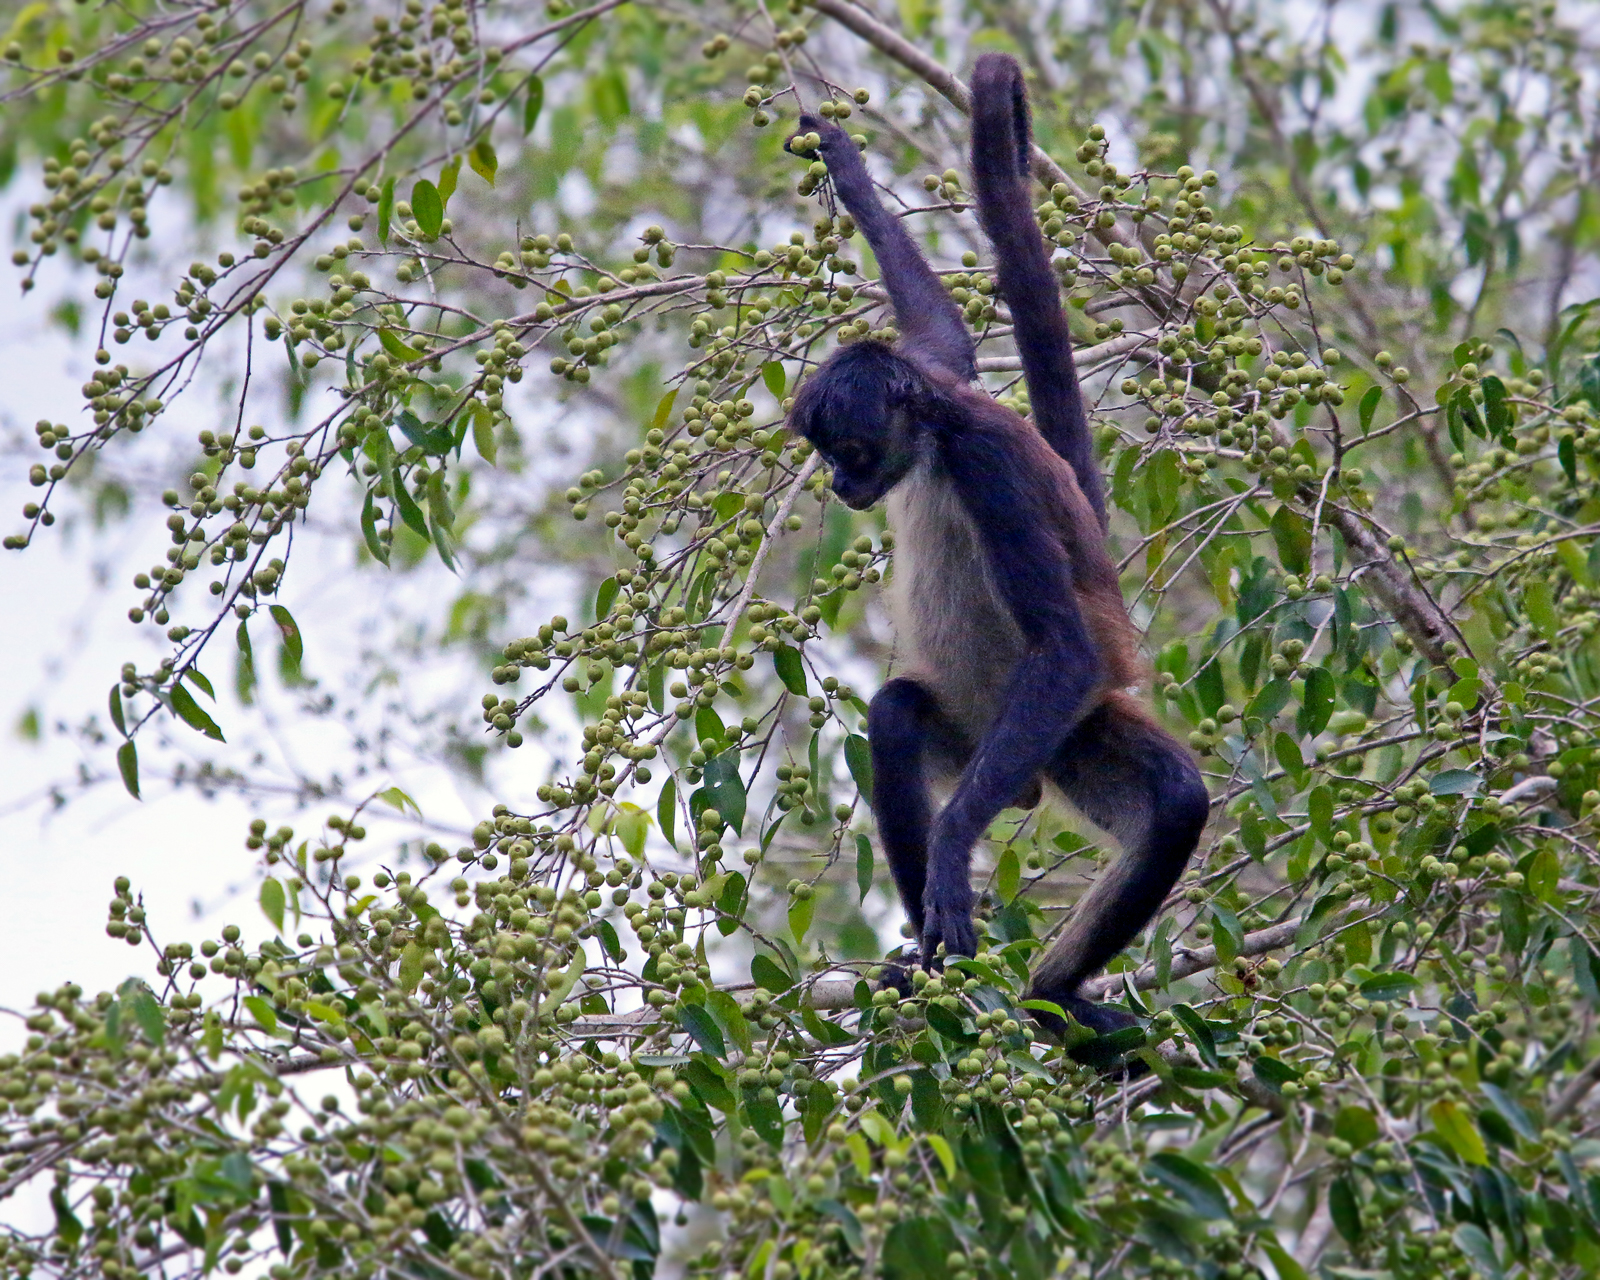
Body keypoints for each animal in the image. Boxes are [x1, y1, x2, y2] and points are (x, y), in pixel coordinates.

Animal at [785, 54, 1209, 1047]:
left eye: (849, 449)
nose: (839, 485)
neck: (937, 435)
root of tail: (1016, 780)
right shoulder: (938, 371)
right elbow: (945, 332)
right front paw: (846, 165)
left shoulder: (990, 466)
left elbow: (1066, 645)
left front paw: (949, 857)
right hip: (986, 743)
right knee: (899, 715)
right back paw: (931, 970)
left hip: (1064, 731)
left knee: (1175, 798)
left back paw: (1053, 997)